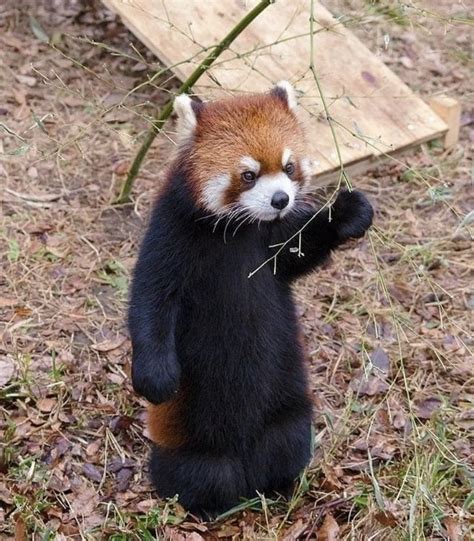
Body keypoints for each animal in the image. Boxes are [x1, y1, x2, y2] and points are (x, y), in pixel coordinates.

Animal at [130, 80, 374, 516]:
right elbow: (150, 299)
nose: (280, 200)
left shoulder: (274, 242)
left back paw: (280, 485)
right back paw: (207, 504)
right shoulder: (171, 233)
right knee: (200, 474)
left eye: (289, 167)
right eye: (248, 175)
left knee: (286, 442)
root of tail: (244, 461)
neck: (240, 230)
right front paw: (155, 377)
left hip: (288, 412)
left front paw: (346, 212)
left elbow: (300, 249)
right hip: (191, 442)